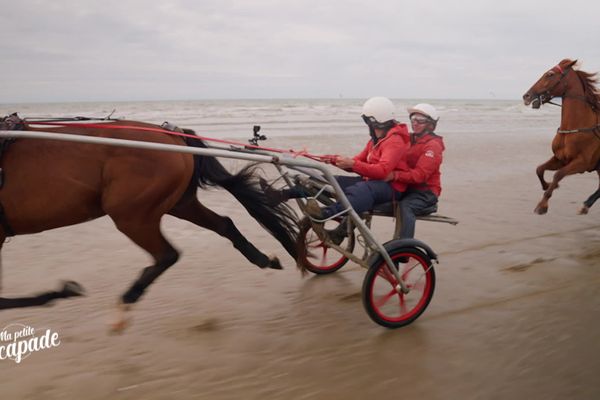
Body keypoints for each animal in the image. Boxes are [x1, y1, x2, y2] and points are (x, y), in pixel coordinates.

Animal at [0, 115, 298, 332]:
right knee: (223, 224)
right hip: (179, 204)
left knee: (167, 254)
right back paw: (264, 259)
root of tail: (173, 135)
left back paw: (123, 308)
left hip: (132, 215)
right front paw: (58, 293)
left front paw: (60, 291)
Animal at [520, 58, 600, 214]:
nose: (526, 96)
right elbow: (539, 169)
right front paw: (547, 185)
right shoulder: (560, 159)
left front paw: (542, 205)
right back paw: (586, 205)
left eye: (550, 74)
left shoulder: (582, 163)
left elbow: (558, 174)